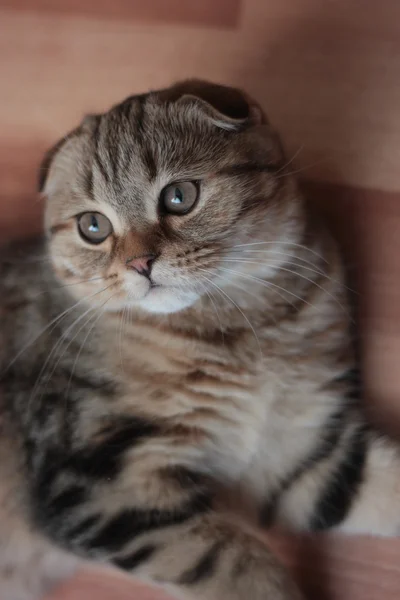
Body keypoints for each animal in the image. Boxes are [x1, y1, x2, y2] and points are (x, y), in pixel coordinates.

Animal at [0, 79, 400, 600]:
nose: (139, 263)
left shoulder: (293, 452)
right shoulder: (97, 483)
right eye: (93, 226)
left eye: (179, 196)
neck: (235, 329)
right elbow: (237, 564)